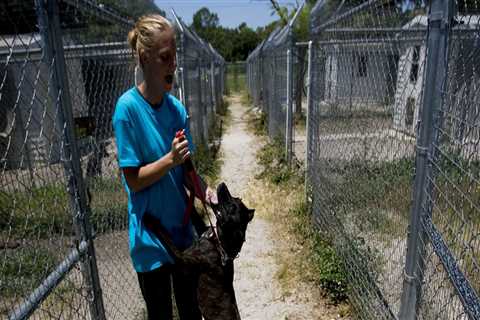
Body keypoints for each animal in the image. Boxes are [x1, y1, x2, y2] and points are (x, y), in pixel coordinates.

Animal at [143, 182, 253, 320]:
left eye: (232, 206)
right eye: (237, 199)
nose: (222, 184)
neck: (219, 245)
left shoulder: (183, 259)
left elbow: (167, 240)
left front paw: (151, 220)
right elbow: (193, 214)